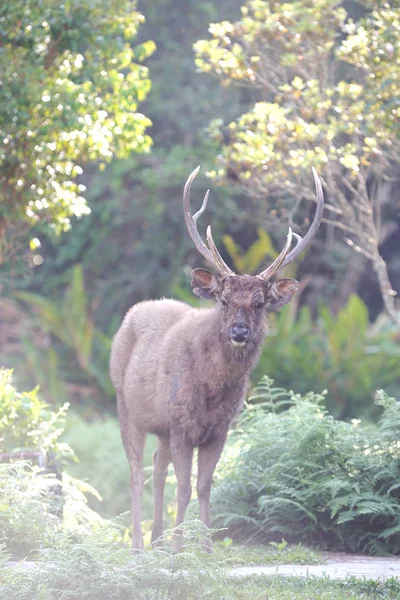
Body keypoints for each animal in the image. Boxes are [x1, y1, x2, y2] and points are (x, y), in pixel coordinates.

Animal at [110, 165, 324, 552]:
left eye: (260, 303)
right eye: (223, 300)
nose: (239, 332)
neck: (211, 391)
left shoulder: (220, 428)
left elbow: (205, 486)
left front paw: (206, 548)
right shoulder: (181, 423)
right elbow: (183, 487)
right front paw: (180, 549)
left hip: (161, 425)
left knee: (156, 466)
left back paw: (157, 539)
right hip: (124, 404)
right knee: (135, 471)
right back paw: (138, 544)